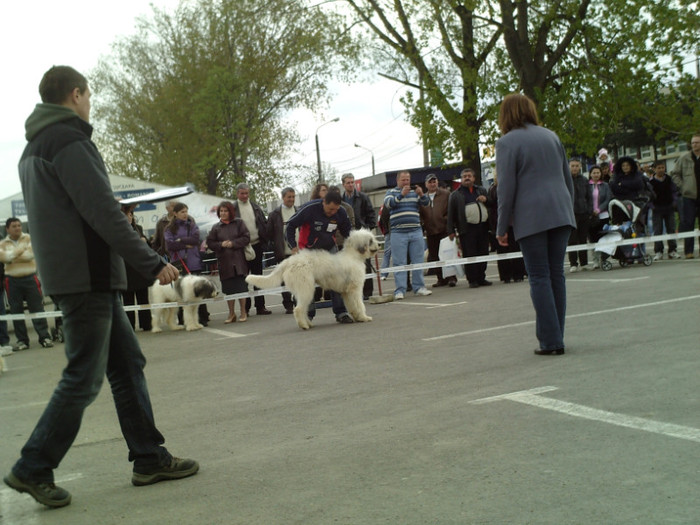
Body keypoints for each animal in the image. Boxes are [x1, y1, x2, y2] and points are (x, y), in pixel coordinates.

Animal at [245, 228, 378, 330]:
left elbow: (352, 306)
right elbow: (359, 304)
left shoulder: (346, 292)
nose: (379, 245)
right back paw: (304, 325)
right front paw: (365, 317)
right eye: (370, 240)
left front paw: (357, 317)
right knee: (298, 309)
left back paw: (308, 323)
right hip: (306, 289)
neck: (354, 256)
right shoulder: (355, 289)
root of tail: (289, 261)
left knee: (303, 309)